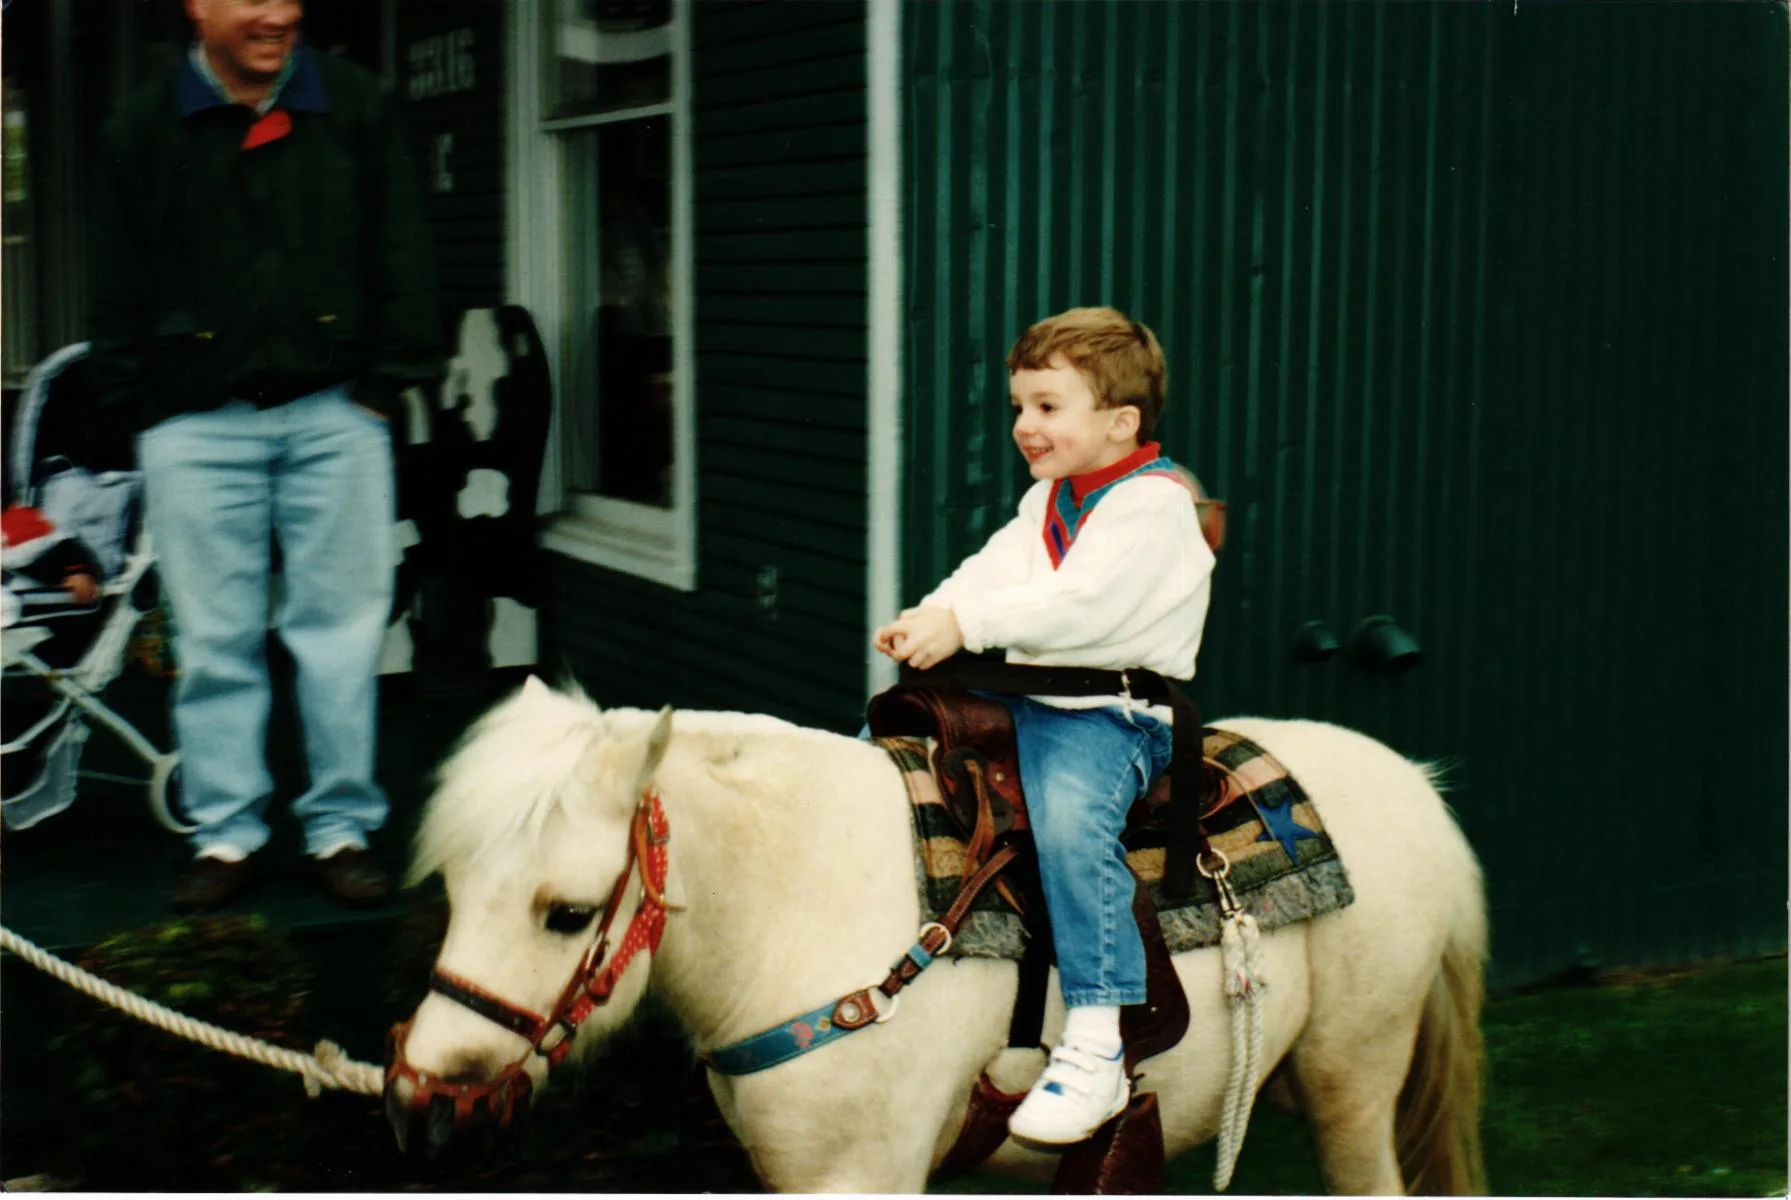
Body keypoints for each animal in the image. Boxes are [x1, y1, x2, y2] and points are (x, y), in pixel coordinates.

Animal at [386, 677, 1487, 1194]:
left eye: (567, 913)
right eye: (455, 886)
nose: (419, 1105)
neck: (803, 907)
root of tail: (1418, 785)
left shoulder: (860, 1175)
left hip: (1353, 1077)